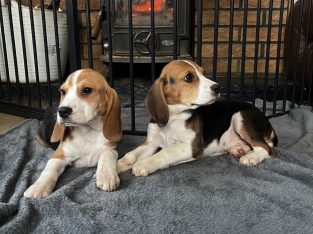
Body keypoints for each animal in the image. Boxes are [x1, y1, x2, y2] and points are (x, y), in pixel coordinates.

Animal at [23, 69, 121, 197]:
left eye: (87, 90)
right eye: (63, 91)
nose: (62, 111)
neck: (89, 132)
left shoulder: (111, 149)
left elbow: (106, 158)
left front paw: (106, 176)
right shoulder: (59, 155)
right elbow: (49, 171)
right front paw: (39, 186)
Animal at [117, 59, 278, 176]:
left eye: (204, 72)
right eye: (189, 77)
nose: (218, 87)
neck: (174, 117)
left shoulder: (191, 146)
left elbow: (165, 152)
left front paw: (144, 164)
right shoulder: (151, 143)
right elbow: (131, 154)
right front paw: (117, 165)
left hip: (240, 116)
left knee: (267, 149)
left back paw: (251, 157)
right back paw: (240, 150)